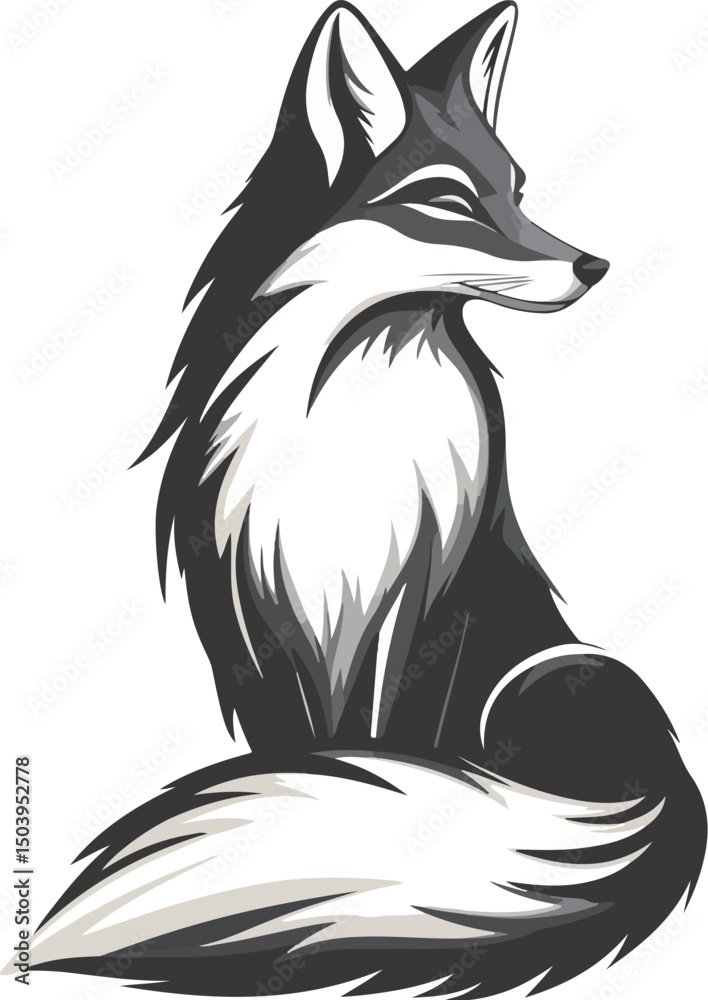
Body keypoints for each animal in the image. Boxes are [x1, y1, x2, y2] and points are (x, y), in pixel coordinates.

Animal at [18, 3, 705, 998]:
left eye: (518, 191)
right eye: (451, 202)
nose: (595, 265)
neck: (345, 428)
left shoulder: (417, 616)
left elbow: (381, 754)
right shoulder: (263, 627)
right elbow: (305, 758)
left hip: (546, 673)